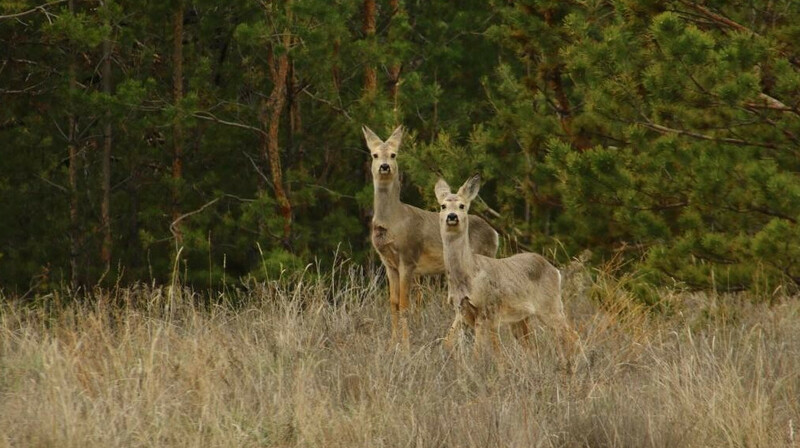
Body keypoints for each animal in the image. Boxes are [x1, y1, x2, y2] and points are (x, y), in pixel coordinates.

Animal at [364, 124, 500, 348]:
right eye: (374, 154)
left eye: (394, 154)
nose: (384, 166)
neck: (393, 220)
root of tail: (495, 234)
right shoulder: (388, 263)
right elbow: (393, 304)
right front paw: (392, 344)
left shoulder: (408, 258)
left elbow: (405, 304)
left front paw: (406, 346)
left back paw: (448, 342)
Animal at [438, 173, 576, 366]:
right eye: (443, 206)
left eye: (462, 205)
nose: (452, 216)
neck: (468, 274)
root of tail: (555, 270)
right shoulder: (462, 311)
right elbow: (454, 345)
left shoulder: (485, 309)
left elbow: (479, 351)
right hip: (521, 318)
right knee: (533, 348)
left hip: (550, 305)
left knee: (571, 334)